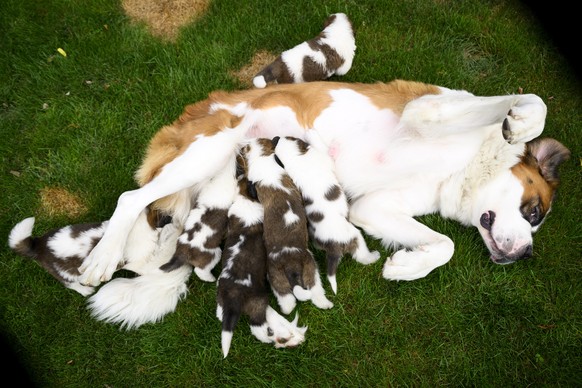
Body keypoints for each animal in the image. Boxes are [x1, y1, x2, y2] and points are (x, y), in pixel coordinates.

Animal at [217, 158, 308, 358]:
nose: (241, 173)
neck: (245, 198)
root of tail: (234, 295)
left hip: (221, 296)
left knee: (220, 314)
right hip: (258, 302)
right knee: (257, 326)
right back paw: (274, 338)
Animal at [241, 138, 334, 314]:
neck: (263, 156)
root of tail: (292, 266)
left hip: (275, 276)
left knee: (287, 299)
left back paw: (286, 309)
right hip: (311, 267)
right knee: (315, 290)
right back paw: (326, 304)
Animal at [274, 136, 384, 294]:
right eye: (292, 138)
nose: (275, 137)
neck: (297, 160)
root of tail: (334, 246)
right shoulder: (326, 161)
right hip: (355, 236)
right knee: (362, 257)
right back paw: (374, 257)